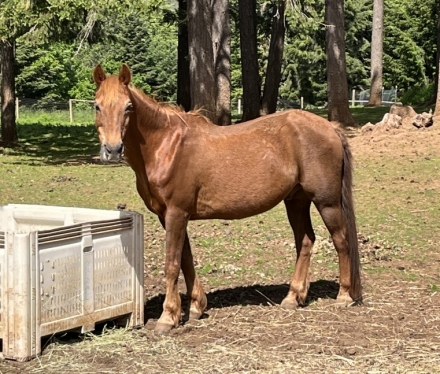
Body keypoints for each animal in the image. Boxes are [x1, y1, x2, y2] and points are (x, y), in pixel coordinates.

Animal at [93, 63, 360, 334]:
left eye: (128, 107)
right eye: (97, 106)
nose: (112, 150)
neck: (166, 146)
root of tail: (331, 128)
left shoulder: (176, 213)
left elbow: (172, 264)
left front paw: (168, 317)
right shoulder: (169, 215)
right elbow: (186, 259)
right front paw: (197, 306)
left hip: (327, 203)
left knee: (341, 240)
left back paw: (344, 296)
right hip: (296, 201)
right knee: (305, 241)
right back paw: (293, 297)